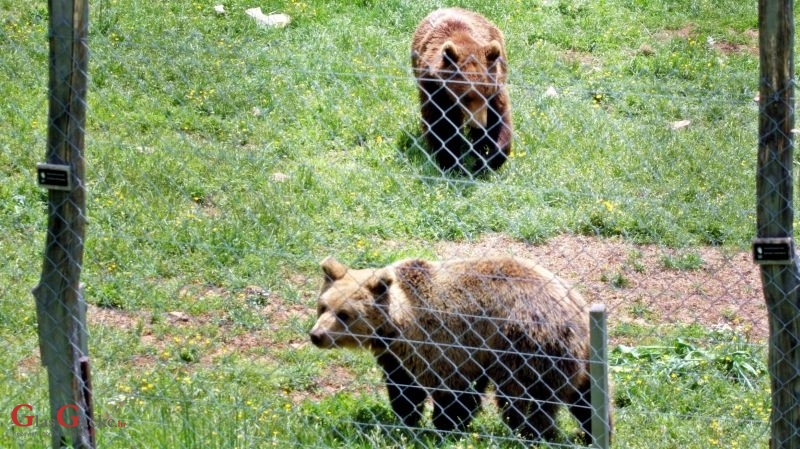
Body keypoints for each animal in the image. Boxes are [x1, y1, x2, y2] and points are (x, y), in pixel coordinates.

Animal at [306, 254, 608, 442]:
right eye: (323, 306)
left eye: (344, 314)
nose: (316, 335)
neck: (398, 325)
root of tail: (576, 312)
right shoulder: (398, 356)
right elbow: (404, 389)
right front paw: (406, 421)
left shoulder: (448, 341)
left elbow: (455, 393)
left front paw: (446, 427)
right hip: (582, 357)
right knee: (587, 398)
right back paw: (589, 433)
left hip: (526, 345)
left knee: (525, 399)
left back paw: (532, 435)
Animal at [410, 7, 516, 175]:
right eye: (466, 97)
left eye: (487, 95)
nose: (480, 124)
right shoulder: (435, 90)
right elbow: (442, 126)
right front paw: (453, 164)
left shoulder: (496, 85)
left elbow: (500, 118)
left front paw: (484, 161)